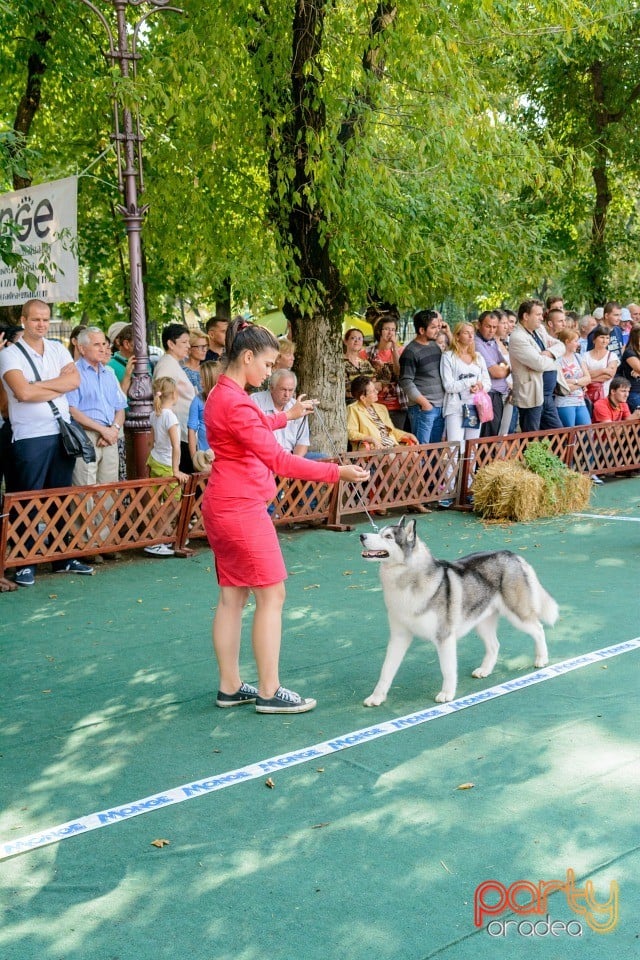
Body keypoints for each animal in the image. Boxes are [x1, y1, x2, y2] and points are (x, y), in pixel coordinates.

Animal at [362, 516, 556, 704]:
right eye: (379, 532)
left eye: (388, 537)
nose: (362, 536)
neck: (407, 582)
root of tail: (513, 554)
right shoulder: (399, 637)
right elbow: (386, 670)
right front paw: (377, 697)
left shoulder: (444, 637)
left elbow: (447, 670)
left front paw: (447, 694)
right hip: (481, 623)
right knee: (495, 645)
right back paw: (485, 670)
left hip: (518, 615)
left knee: (538, 629)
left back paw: (541, 659)